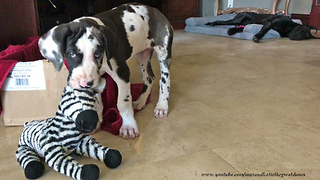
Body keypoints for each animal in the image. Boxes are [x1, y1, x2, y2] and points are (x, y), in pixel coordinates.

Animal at [38, 3, 174, 139]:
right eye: (71, 53)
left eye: (97, 53)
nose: (84, 83)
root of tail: (153, 9)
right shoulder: (96, 79)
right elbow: (97, 101)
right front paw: (97, 120)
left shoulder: (122, 73)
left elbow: (123, 102)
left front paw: (128, 126)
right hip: (142, 55)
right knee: (149, 78)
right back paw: (141, 101)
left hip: (163, 55)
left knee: (164, 81)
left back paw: (161, 106)